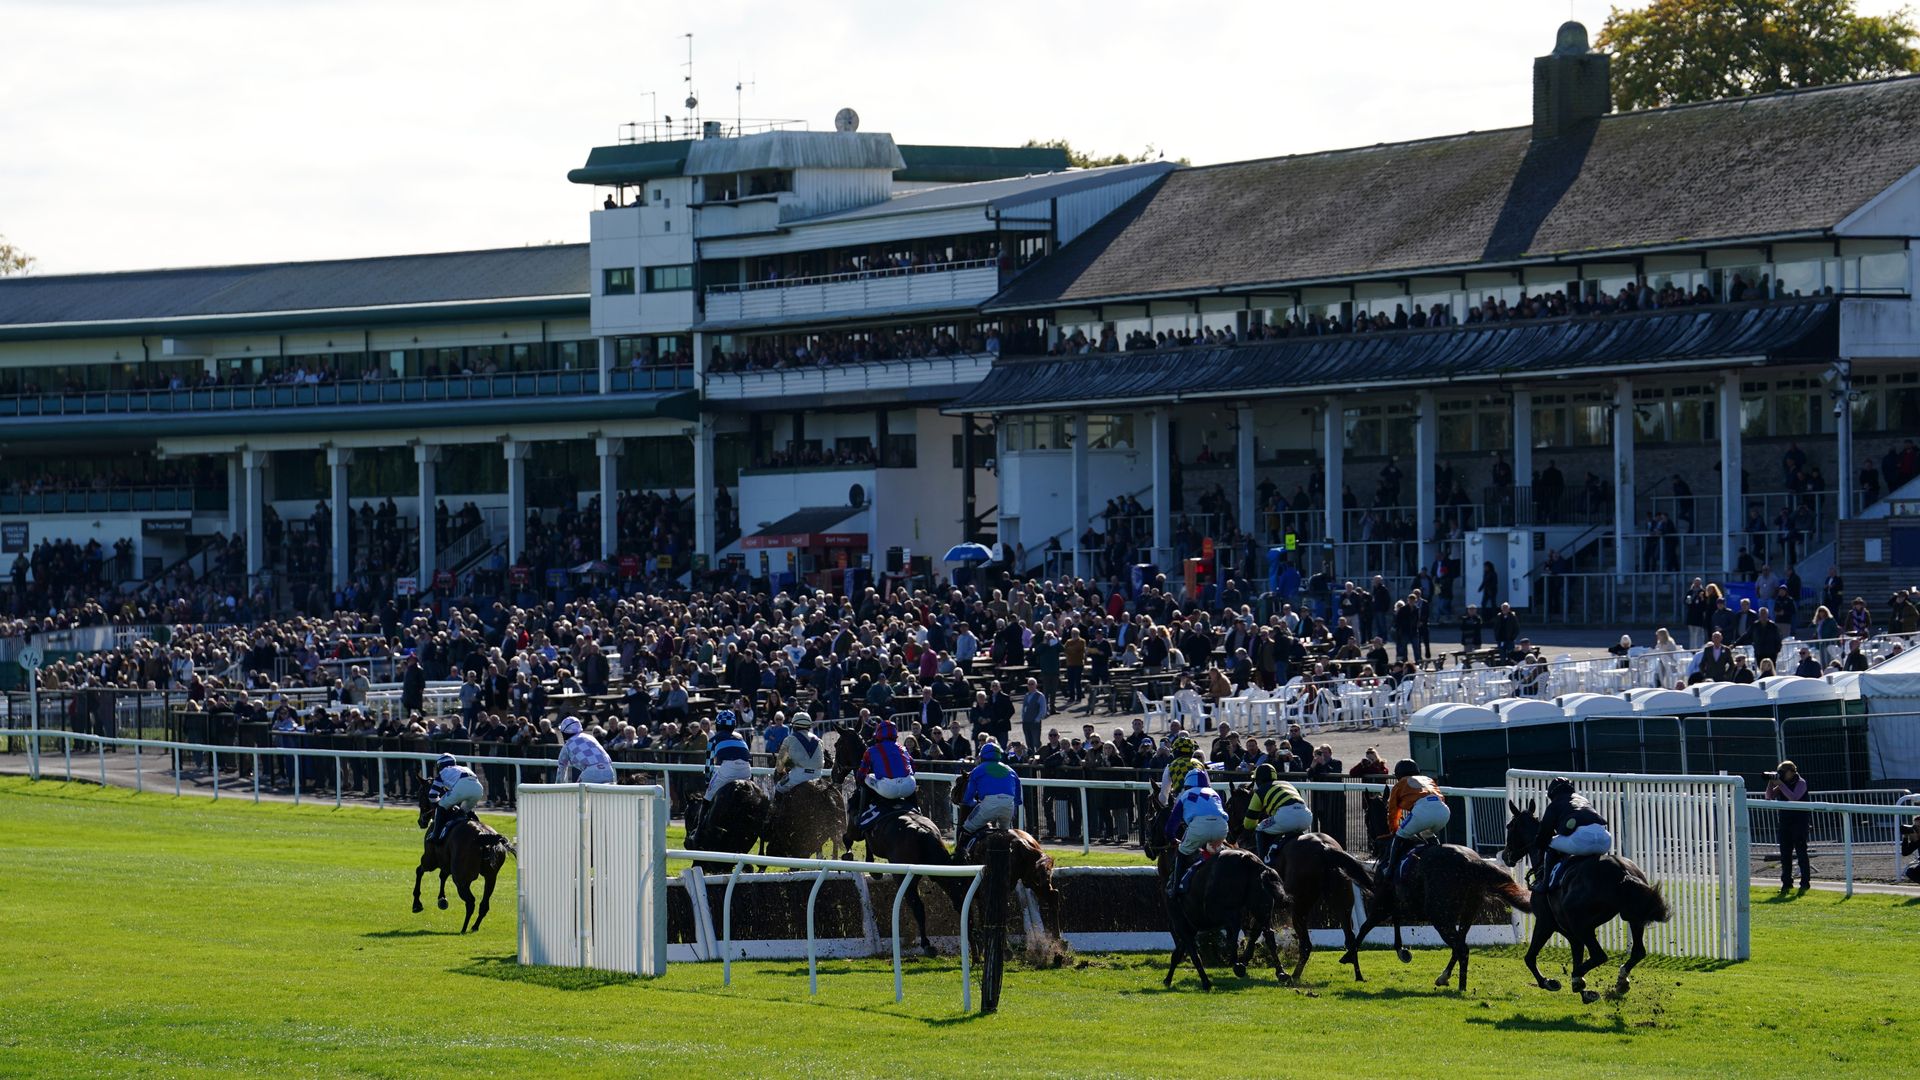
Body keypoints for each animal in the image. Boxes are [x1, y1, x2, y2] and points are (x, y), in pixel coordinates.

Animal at [412, 787, 514, 930]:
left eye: (420, 793)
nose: (421, 821)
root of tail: (484, 836)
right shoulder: (447, 862)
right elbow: (442, 875)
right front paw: (442, 899)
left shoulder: (430, 859)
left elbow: (419, 871)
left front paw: (417, 904)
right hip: (491, 877)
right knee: (484, 904)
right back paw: (474, 926)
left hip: (461, 879)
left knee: (470, 902)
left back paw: (463, 928)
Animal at [1159, 845, 1282, 991]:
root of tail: (1249, 859)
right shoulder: (1191, 926)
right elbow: (1178, 953)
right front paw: (1167, 979)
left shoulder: (1181, 923)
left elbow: (1194, 955)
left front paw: (1205, 982)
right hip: (1261, 908)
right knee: (1268, 934)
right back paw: (1281, 972)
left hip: (1218, 910)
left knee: (1235, 925)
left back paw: (1237, 963)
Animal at [1344, 787, 1536, 991]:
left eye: (1365, 815)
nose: (1371, 846)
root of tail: (1472, 863)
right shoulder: (1399, 901)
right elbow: (1394, 919)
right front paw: (1402, 951)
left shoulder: (1382, 903)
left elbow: (1365, 927)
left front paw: (1350, 958)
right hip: (1467, 914)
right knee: (1460, 945)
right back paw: (1446, 978)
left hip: (1440, 916)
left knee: (1462, 948)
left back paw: (1460, 986)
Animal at [1505, 799, 1674, 999]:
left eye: (1510, 826)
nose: (1506, 855)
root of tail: (1622, 871)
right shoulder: (1570, 933)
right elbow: (1576, 955)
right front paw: (1582, 990)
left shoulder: (1546, 922)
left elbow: (1530, 957)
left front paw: (1548, 982)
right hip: (1634, 917)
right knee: (1638, 951)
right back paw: (1620, 980)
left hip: (1581, 924)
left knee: (1600, 955)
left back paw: (1578, 977)